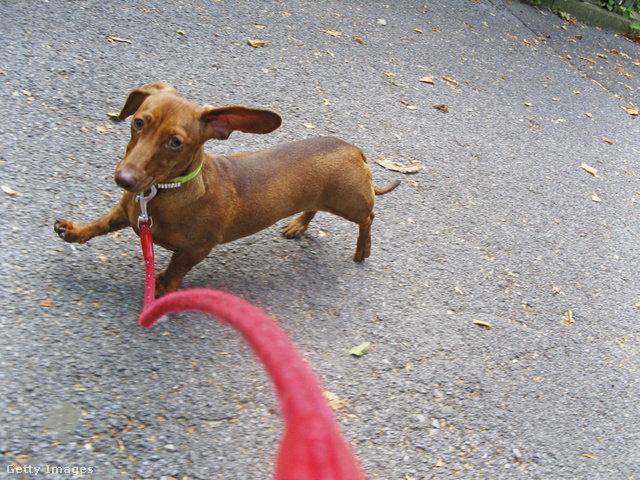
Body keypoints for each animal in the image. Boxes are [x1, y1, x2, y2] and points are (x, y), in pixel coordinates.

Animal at [53, 80, 400, 294]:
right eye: (138, 122)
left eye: (175, 142)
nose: (123, 179)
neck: (163, 192)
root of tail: (354, 149)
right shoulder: (125, 212)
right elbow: (99, 225)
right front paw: (74, 231)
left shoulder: (196, 249)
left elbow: (176, 268)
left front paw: (163, 286)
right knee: (313, 208)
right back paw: (298, 224)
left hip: (350, 204)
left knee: (369, 218)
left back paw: (363, 248)